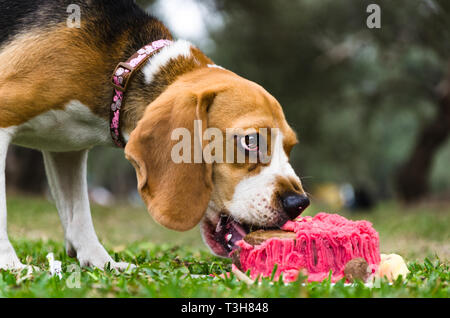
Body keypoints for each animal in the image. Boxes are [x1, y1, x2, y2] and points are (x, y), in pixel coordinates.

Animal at [0, 0, 310, 270]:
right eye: (251, 141)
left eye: (291, 147)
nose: (299, 204)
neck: (127, 70)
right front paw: (10, 266)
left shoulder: (67, 151)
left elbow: (79, 213)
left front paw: (102, 263)